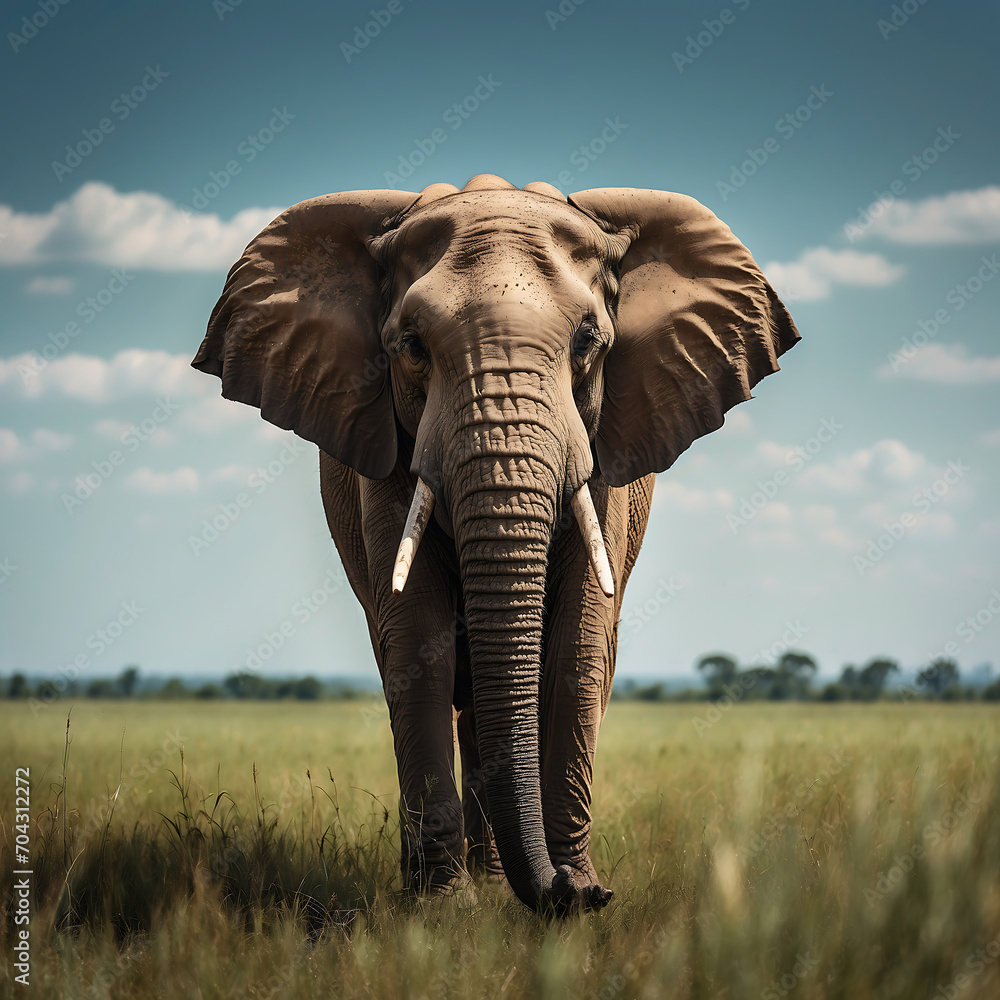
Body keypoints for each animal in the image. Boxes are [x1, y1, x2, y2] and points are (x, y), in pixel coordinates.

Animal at [192, 173, 799, 913]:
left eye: (588, 343)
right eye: (412, 346)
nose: (577, 894)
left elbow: (576, 649)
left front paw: (572, 892)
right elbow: (416, 645)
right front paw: (443, 912)